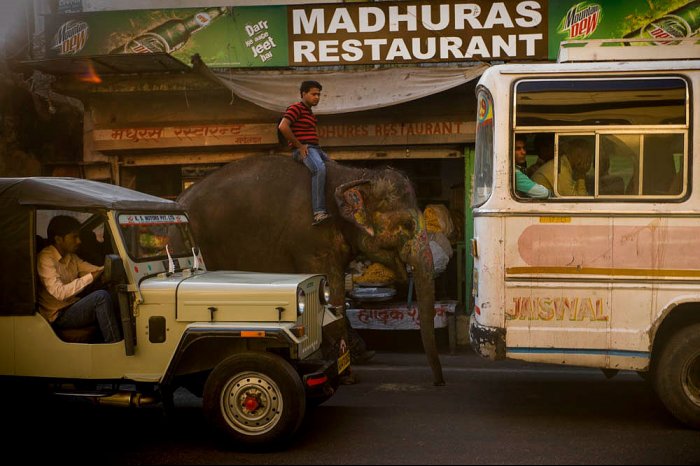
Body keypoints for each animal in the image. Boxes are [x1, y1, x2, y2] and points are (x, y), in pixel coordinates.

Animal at [178, 154, 446, 386]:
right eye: (407, 224)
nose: (438, 383)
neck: (353, 175)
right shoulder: (312, 242)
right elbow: (333, 293)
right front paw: (348, 376)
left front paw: (362, 354)